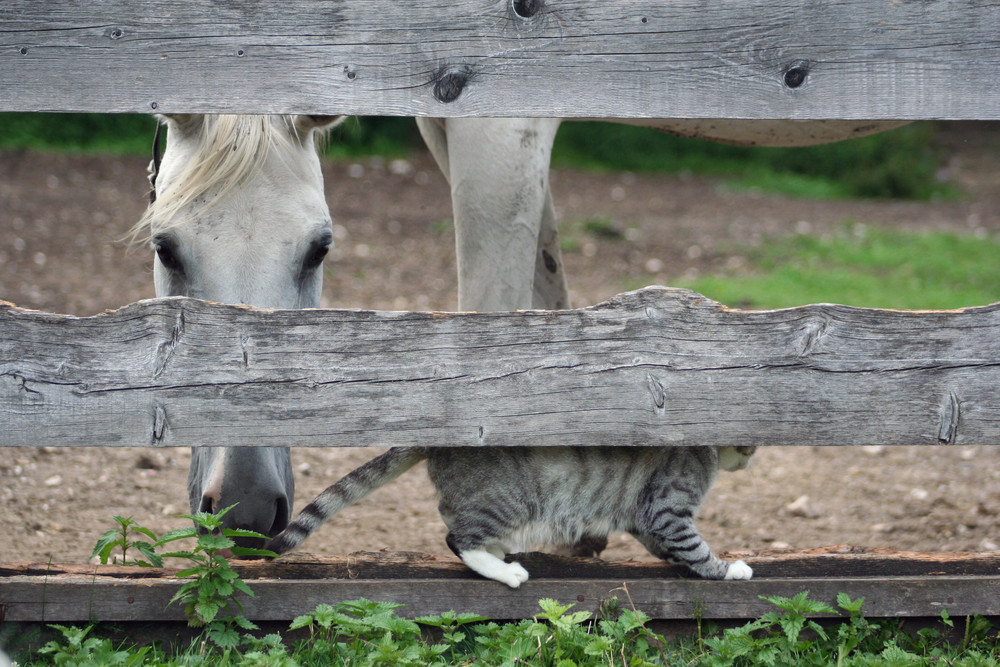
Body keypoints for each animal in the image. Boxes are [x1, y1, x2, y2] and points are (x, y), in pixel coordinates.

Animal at [262, 446, 752, 588]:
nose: (749, 457)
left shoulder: (645, 517)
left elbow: (666, 546)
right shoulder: (667, 508)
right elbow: (693, 545)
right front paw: (727, 569)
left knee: (450, 516)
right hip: (508, 500)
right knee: (460, 539)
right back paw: (504, 569)